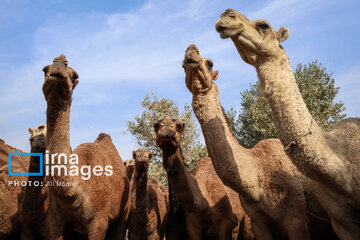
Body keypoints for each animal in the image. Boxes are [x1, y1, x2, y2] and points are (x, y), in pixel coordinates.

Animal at [42, 54, 131, 240]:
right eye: (44, 70)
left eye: (75, 76)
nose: (59, 62)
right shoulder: (53, 221)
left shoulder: (98, 222)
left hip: (124, 211)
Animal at [184, 44, 342, 239]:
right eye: (183, 65)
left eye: (209, 63)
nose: (191, 50)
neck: (255, 174)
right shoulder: (257, 222)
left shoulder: (295, 218)